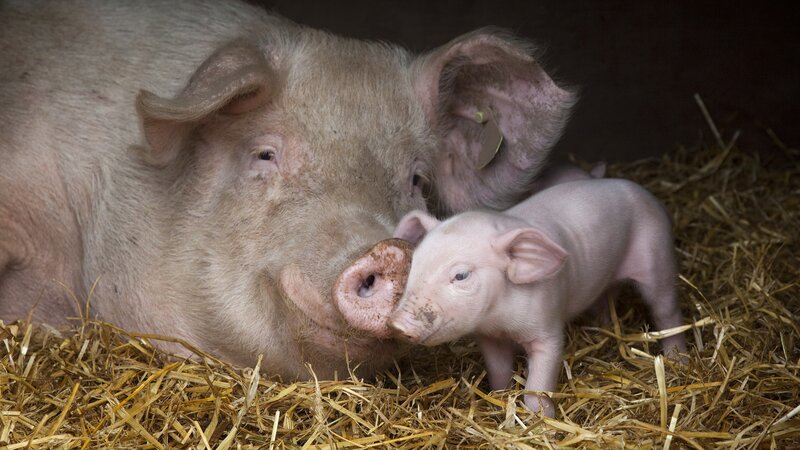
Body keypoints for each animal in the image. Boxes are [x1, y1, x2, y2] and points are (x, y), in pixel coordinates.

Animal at [390, 178, 687, 416]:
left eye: (461, 275)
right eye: (415, 263)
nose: (397, 324)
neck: (500, 320)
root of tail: (646, 194)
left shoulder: (547, 327)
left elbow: (539, 382)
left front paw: (539, 418)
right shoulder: (489, 336)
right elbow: (499, 370)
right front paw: (500, 395)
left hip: (657, 257)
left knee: (667, 312)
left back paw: (678, 358)